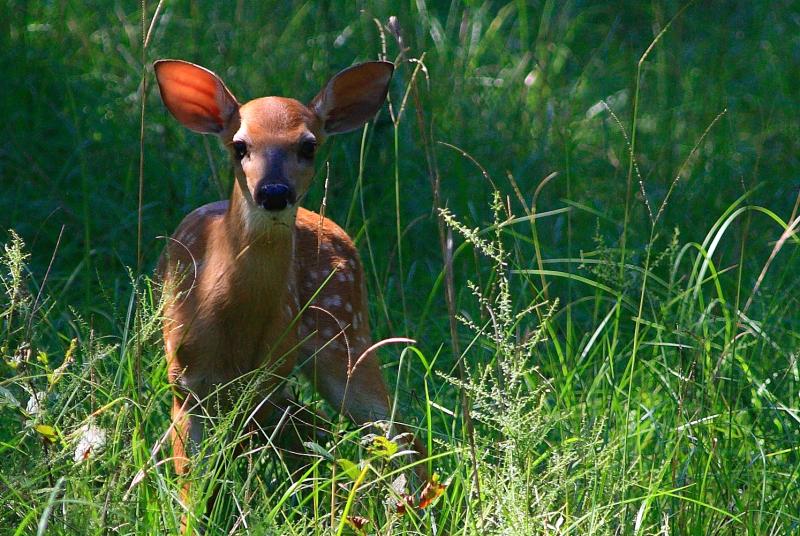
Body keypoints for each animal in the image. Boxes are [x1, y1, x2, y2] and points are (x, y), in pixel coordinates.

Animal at [157, 58, 432, 494]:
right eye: (239, 145)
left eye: (308, 145)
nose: (273, 192)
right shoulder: (183, 383)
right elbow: (195, 484)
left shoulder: (264, 381)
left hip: (346, 333)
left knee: (395, 433)